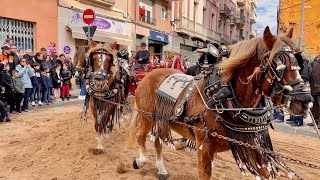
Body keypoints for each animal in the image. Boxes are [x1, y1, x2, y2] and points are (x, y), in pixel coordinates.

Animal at [125, 27, 312, 180]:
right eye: (278, 64)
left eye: (299, 61)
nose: (305, 101)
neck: (226, 98)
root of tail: (150, 74)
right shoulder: (204, 147)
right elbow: (204, 174)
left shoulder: (253, 145)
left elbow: (266, 173)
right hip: (147, 116)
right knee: (141, 136)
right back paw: (141, 160)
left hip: (160, 118)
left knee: (158, 140)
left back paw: (161, 169)